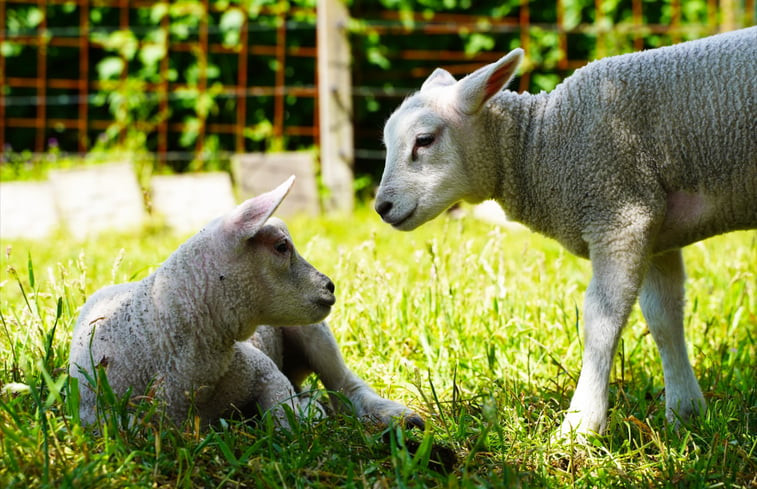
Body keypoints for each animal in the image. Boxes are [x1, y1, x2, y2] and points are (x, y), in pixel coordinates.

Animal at [69, 177, 426, 428]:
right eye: (282, 246)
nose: (329, 286)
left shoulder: (265, 371)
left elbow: (288, 420)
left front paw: (309, 413)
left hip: (313, 331)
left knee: (344, 385)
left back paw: (395, 415)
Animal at [374, 27, 756, 434]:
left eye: (424, 140)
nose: (382, 207)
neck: (542, 143)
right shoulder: (657, 228)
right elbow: (664, 316)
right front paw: (685, 413)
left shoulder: (620, 214)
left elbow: (602, 319)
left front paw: (580, 425)